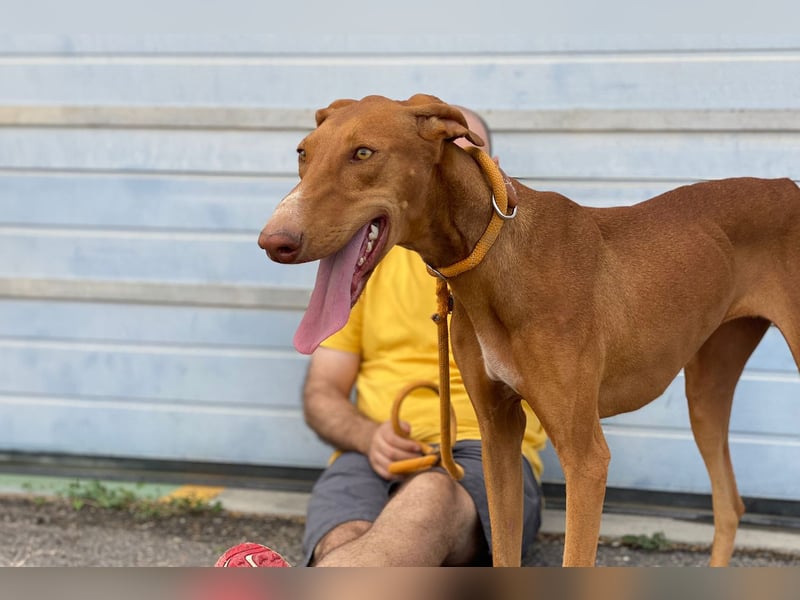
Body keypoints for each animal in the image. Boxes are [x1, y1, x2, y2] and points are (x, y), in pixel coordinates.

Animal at [260, 95, 800, 568]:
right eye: (303, 152)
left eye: (363, 153)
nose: (272, 241)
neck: (494, 253)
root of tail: (787, 184)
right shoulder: (498, 436)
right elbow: (503, 552)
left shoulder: (586, 457)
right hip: (706, 391)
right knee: (729, 504)